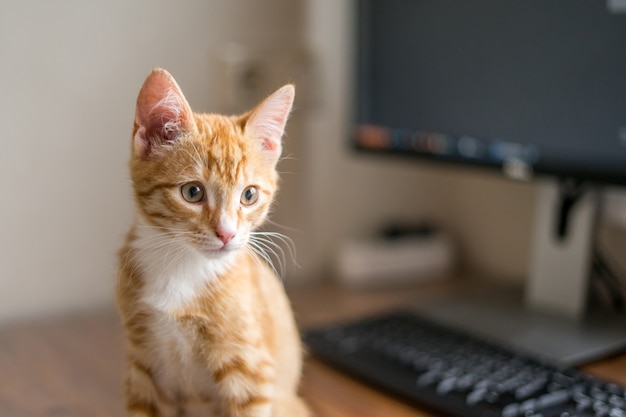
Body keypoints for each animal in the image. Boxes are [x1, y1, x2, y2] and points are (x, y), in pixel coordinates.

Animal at [116, 69, 308, 416]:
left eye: (249, 195)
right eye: (192, 192)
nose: (227, 233)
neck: (182, 266)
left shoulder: (250, 370)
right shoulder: (143, 369)